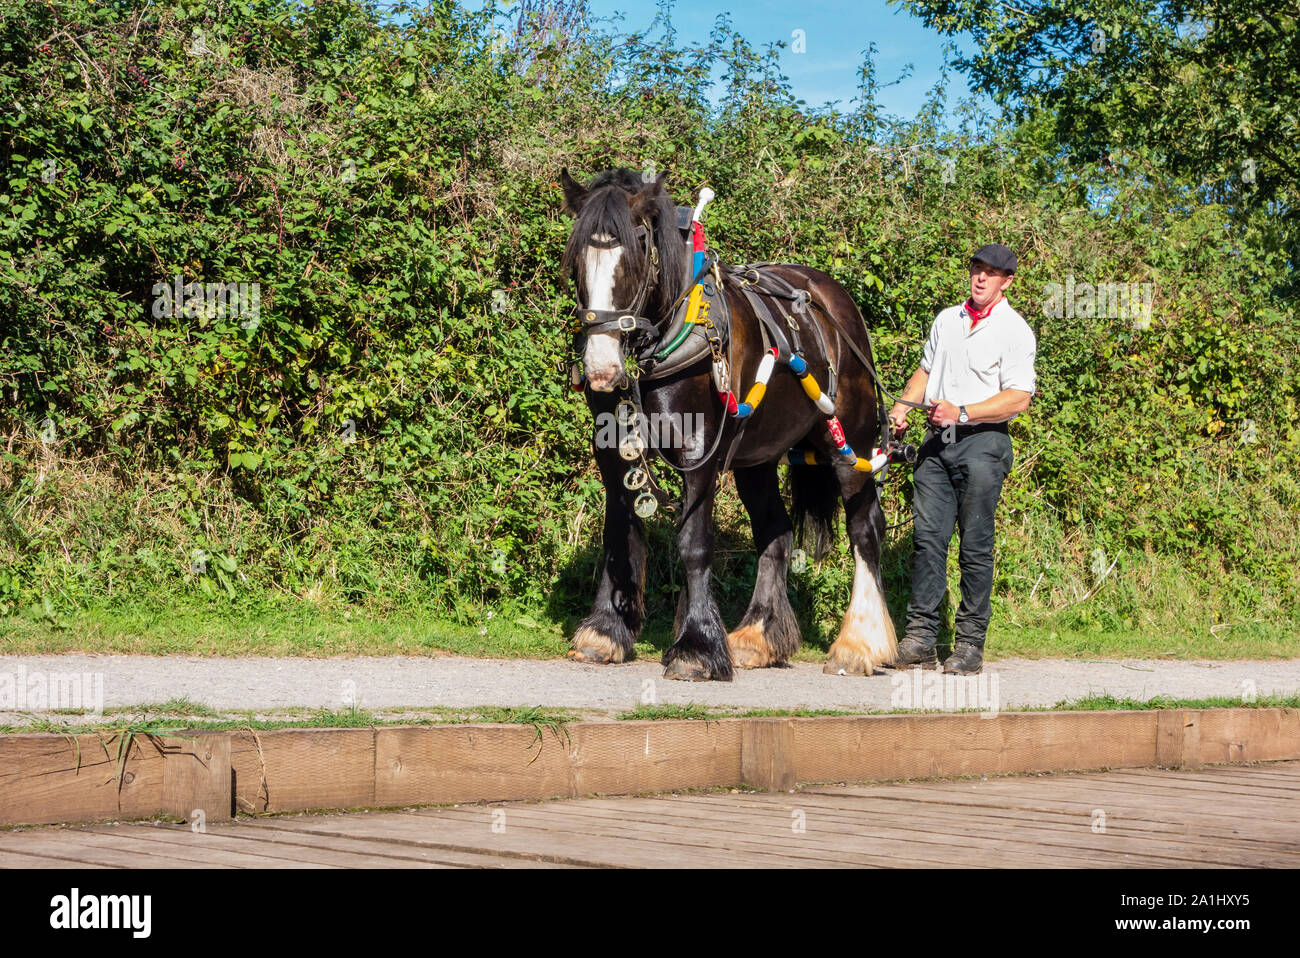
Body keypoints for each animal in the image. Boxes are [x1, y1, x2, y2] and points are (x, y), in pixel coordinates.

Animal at [559, 166, 899, 682]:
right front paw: (605, 632)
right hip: (756, 457)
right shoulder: (615, 453)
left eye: (636, 253)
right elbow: (620, 535)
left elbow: (694, 545)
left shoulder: (700, 450)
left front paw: (696, 647)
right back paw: (757, 636)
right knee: (775, 533)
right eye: (577, 258)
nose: (601, 369)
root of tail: (836, 303)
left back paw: (859, 644)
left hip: (850, 444)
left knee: (864, 530)